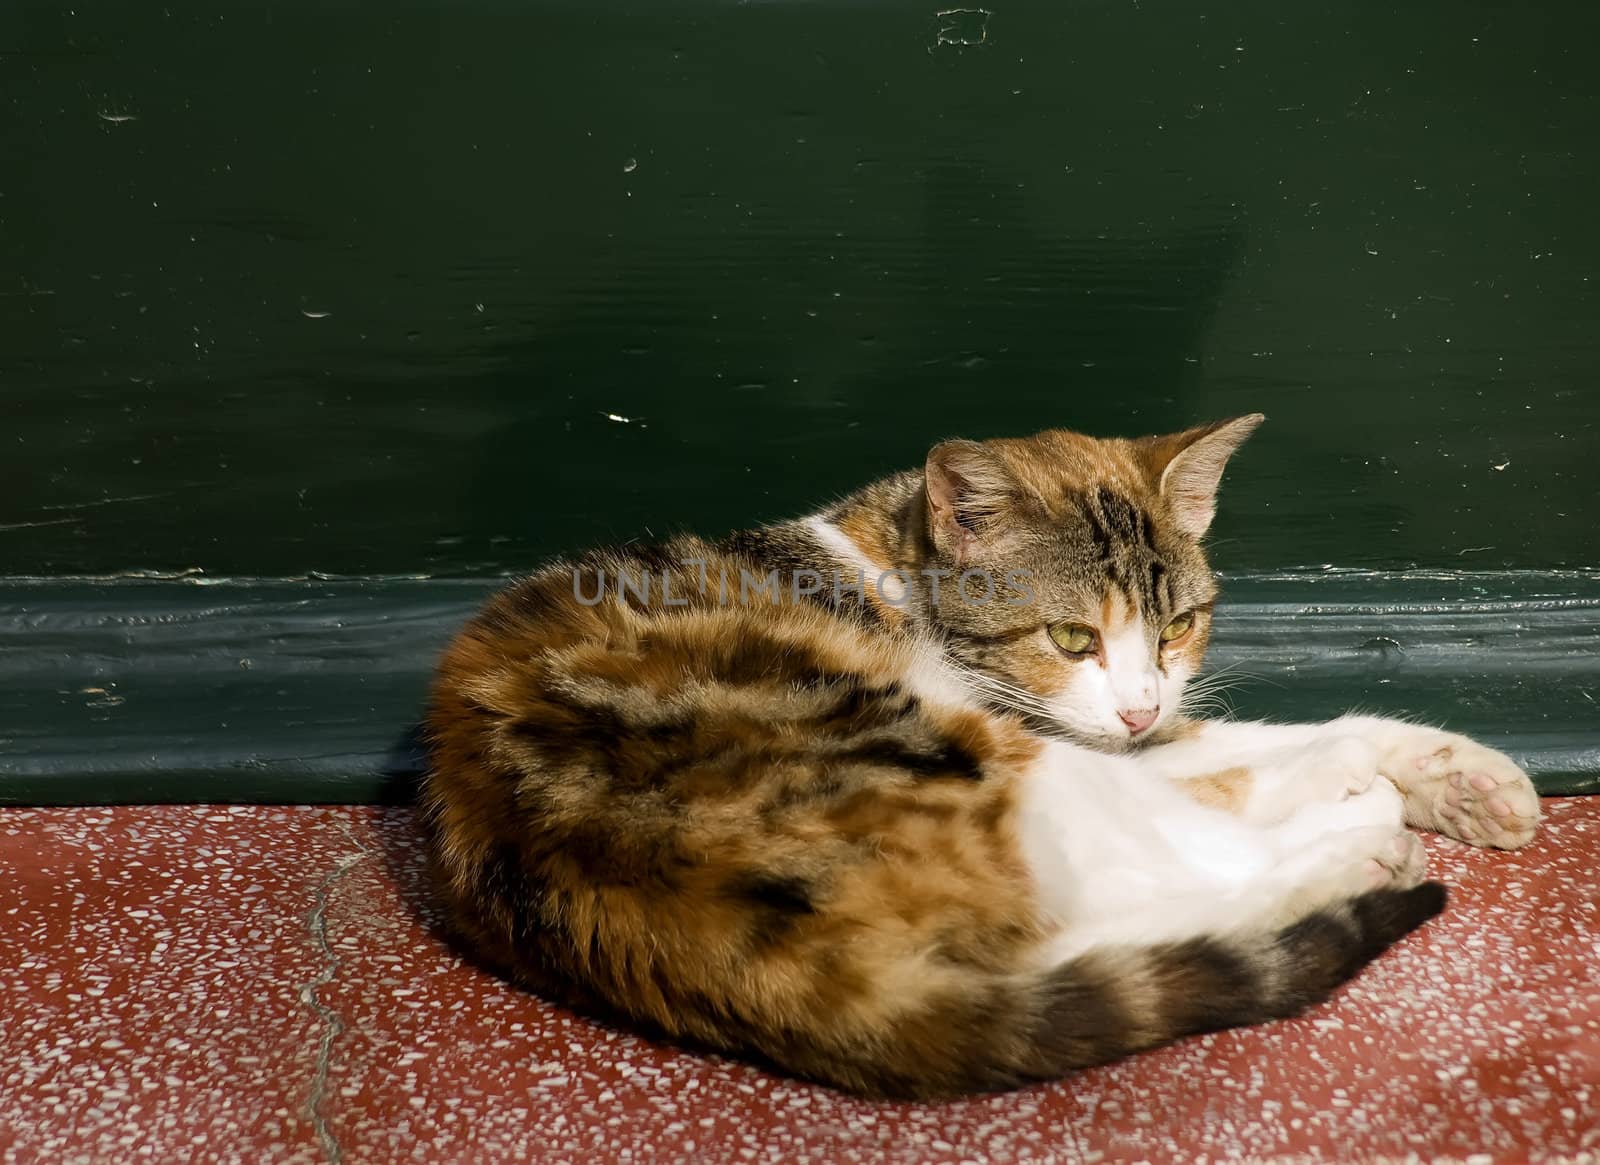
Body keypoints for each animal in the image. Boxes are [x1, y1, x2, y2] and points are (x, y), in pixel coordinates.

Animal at [419, 419, 1542, 1100]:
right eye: (1071, 637)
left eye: (1178, 623)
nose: (1139, 701)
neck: (886, 562)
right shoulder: (1045, 726)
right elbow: (1246, 761)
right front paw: (1367, 783)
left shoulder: (1116, 730)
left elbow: (1249, 738)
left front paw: (1463, 773)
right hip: (911, 734)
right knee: (1183, 860)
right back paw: (1358, 846)